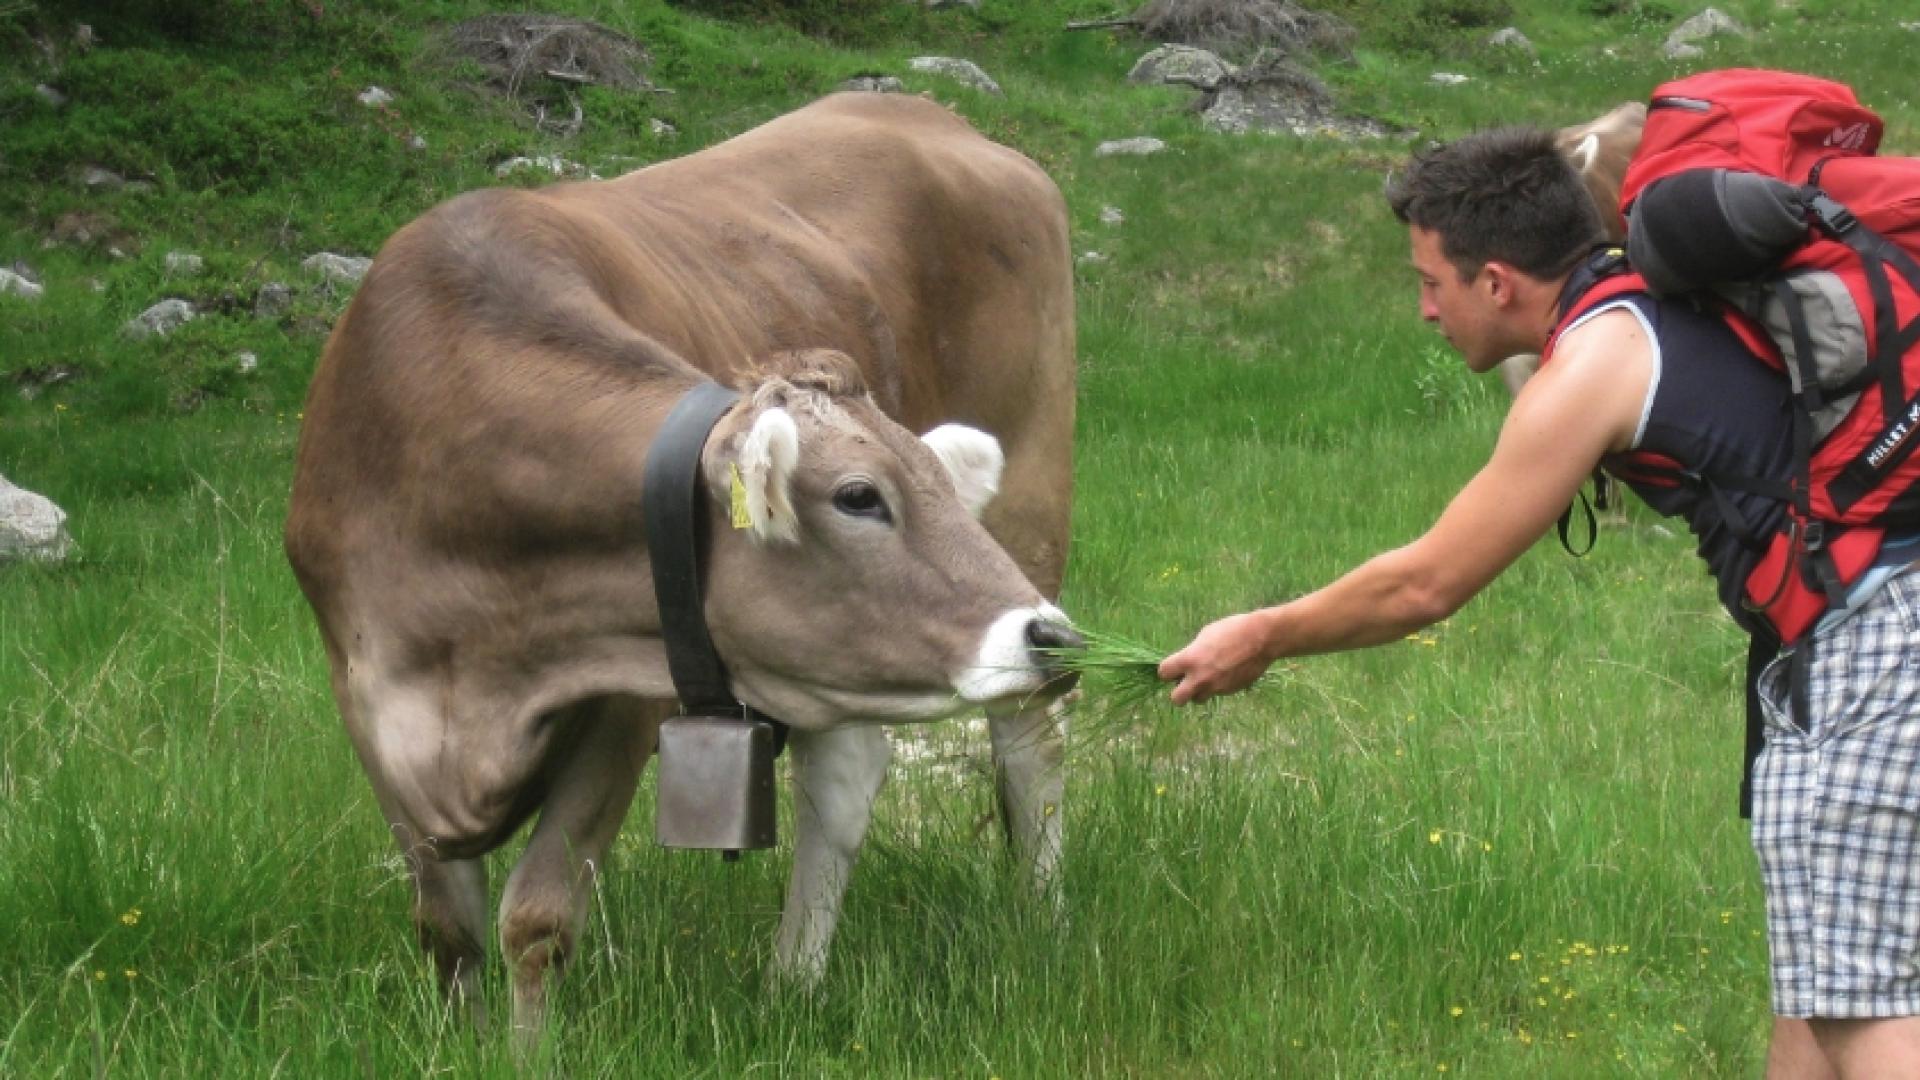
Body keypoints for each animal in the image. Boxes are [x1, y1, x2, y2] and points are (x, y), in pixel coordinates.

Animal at [291, 92, 1090, 1037]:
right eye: (860, 496)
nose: (1050, 635)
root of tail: (923, 110)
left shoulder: (627, 698)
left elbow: (538, 917)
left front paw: (527, 1049)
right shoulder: (368, 700)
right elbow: (447, 928)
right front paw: (466, 1043)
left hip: (1034, 504)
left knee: (1028, 745)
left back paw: (1036, 922)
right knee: (849, 771)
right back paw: (794, 984)